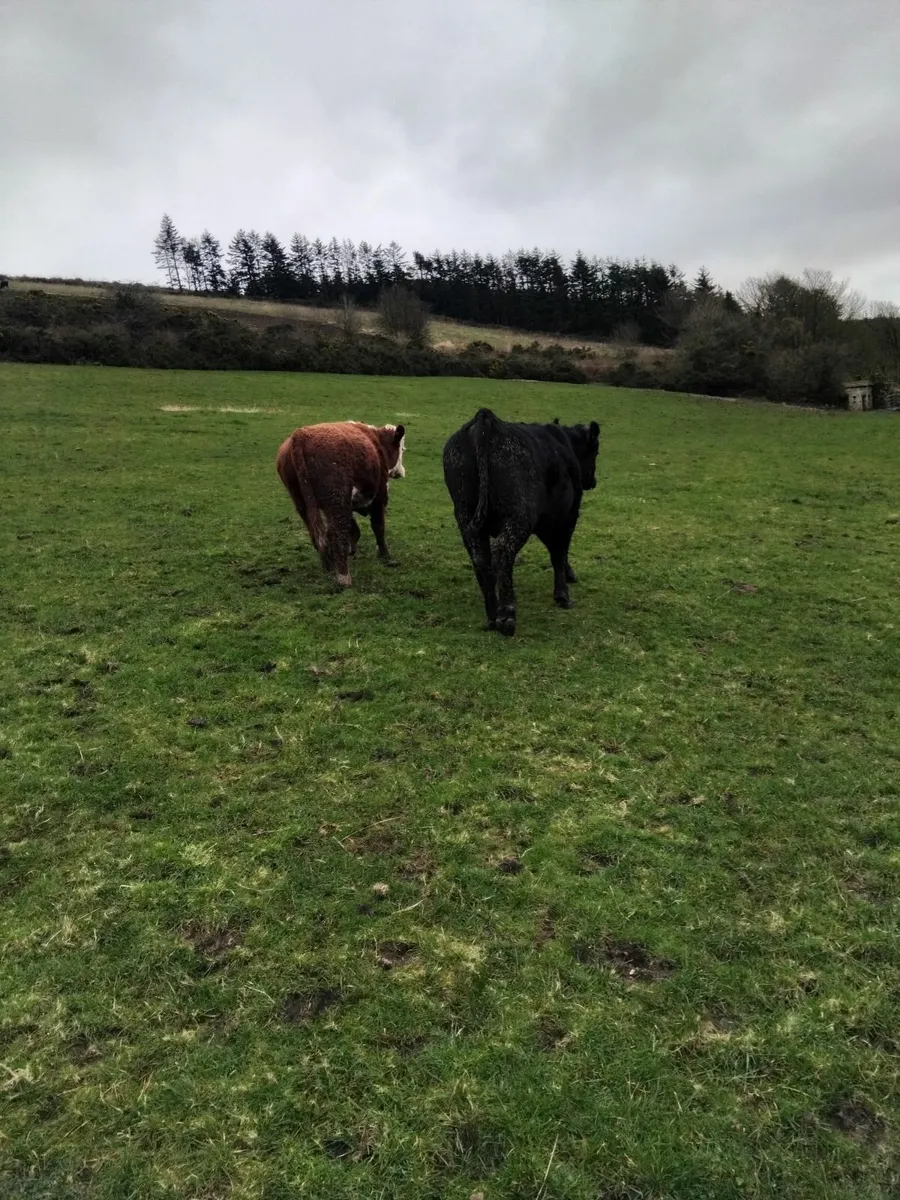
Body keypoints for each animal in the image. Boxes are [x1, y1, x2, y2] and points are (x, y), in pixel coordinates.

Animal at [276, 420, 406, 587]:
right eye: (401, 448)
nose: (401, 472)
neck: (376, 441)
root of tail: (300, 435)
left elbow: (354, 528)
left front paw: (352, 548)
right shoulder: (379, 496)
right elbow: (378, 527)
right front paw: (384, 556)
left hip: (302, 503)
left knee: (319, 536)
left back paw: (330, 568)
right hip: (337, 500)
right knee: (335, 534)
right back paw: (343, 578)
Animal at [443, 407, 600, 635]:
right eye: (596, 451)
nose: (592, 481)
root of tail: (487, 419)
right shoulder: (567, 515)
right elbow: (559, 551)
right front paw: (563, 594)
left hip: (465, 515)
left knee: (481, 558)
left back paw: (492, 615)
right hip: (520, 515)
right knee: (503, 552)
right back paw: (507, 616)